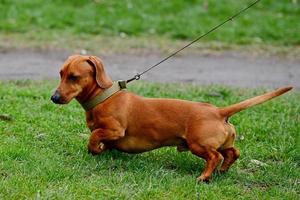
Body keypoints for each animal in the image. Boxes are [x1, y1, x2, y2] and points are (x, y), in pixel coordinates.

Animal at [50, 54, 292, 181]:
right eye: (60, 74)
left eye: (74, 77)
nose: (54, 97)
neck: (103, 97)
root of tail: (218, 111)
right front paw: (103, 150)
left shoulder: (114, 130)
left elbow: (94, 137)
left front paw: (95, 149)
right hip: (222, 142)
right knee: (233, 152)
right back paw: (223, 170)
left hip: (198, 144)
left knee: (214, 156)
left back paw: (204, 176)